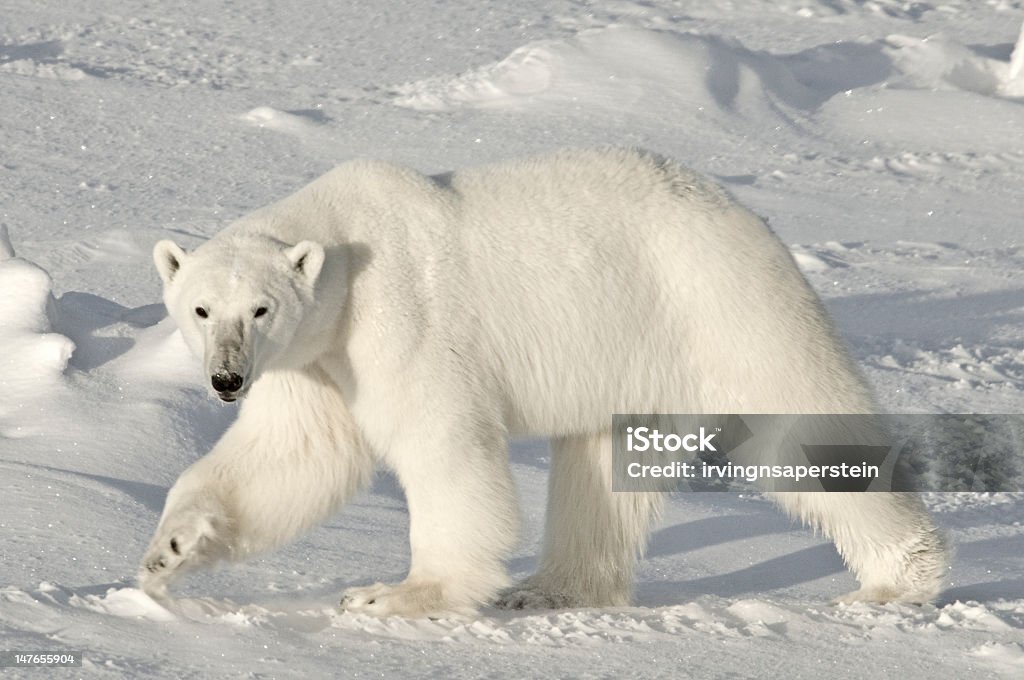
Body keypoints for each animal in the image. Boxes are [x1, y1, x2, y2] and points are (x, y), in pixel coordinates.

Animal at [140, 147, 946, 614]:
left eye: (261, 307)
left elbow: (441, 442)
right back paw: (551, 588)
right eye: (201, 308)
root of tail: (743, 214)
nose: (226, 378)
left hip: (719, 308)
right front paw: (170, 551)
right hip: (630, 351)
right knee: (600, 470)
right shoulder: (319, 356)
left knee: (803, 428)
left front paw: (397, 594)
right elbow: (293, 455)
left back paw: (898, 580)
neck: (343, 241)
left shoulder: (399, 318)